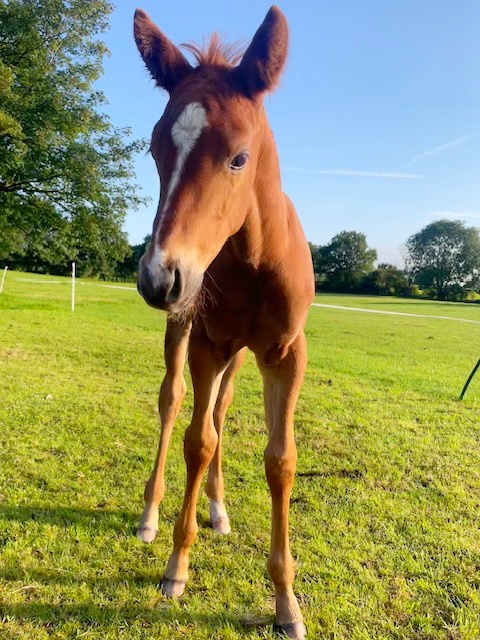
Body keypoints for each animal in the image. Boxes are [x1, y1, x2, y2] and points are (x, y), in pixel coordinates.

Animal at [133, 7, 314, 638]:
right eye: (156, 150)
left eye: (239, 157)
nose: (159, 277)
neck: (253, 261)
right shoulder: (208, 343)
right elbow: (197, 439)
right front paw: (176, 570)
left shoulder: (285, 354)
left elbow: (280, 459)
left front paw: (286, 602)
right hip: (188, 333)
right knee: (173, 402)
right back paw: (150, 515)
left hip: (239, 354)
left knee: (222, 407)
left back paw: (218, 509)